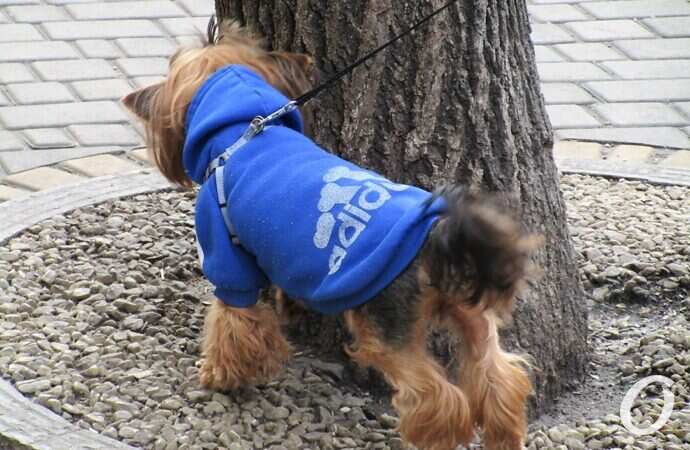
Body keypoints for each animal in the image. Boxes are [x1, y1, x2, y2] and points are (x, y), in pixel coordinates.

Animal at [123, 22, 538, 450]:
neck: (243, 132)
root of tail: (436, 233)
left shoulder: (225, 252)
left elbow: (233, 321)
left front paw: (221, 374)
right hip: (470, 312)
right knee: (499, 379)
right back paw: (505, 434)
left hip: (385, 327)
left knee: (440, 398)